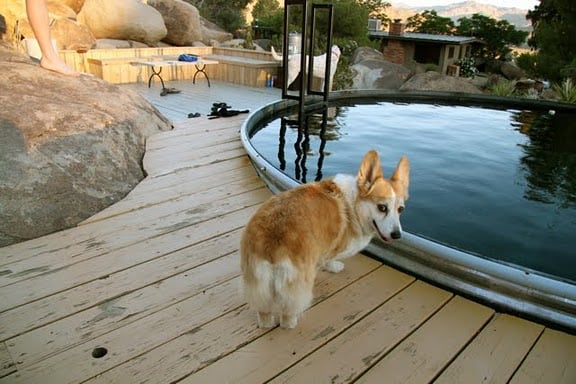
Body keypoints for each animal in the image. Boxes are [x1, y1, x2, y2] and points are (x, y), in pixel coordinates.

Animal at [238, 148, 410, 328]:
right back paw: (291, 324)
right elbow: (330, 259)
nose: (397, 235)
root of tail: (272, 242)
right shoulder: (331, 247)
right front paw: (334, 267)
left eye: (401, 209)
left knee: (264, 311)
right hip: (295, 283)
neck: (354, 205)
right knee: (288, 312)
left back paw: (266, 324)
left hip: (258, 282)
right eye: (382, 207)